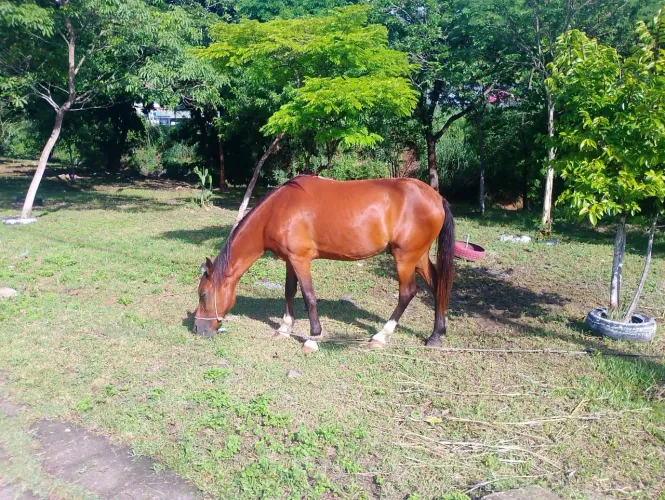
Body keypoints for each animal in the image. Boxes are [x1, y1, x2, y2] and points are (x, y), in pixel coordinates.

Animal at [193, 175, 455, 347]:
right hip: (418, 257)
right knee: (437, 285)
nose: (197, 329)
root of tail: (437, 197)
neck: (278, 210)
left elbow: (308, 295)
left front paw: (313, 336)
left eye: (203, 295)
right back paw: (436, 334)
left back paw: (381, 335)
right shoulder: (289, 260)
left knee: (407, 292)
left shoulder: (301, 259)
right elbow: (289, 291)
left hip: (405, 258)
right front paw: (285, 327)